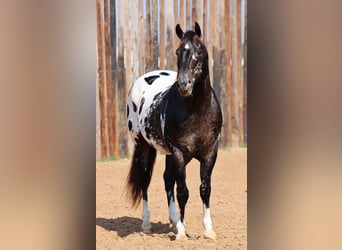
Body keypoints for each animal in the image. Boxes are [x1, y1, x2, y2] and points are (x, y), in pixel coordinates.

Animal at [125, 22, 222, 240]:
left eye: (198, 52)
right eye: (178, 52)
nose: (184, 84)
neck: (196, 111)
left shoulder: (210, 153)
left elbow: (205, 189)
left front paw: (208, 230)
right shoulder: (178, 153)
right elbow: (183, 192)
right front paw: (181, 233)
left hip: (168, 153)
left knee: (167, 179)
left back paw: (174, 219)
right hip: (143, 146)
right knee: (145, 180)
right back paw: (147, 223)